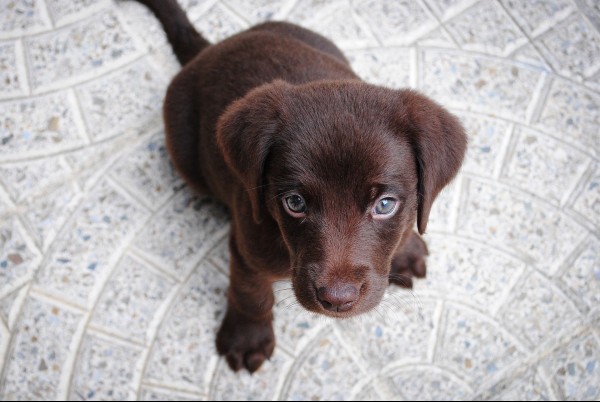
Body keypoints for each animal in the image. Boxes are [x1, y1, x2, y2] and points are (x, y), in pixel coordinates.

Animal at [136, 0, 468, 374]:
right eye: (294, 203)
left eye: (385, 205)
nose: (337, 300)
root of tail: (210, 49)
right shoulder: (247, 246)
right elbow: (250, 292)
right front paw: (247, 338)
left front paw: (406, 248)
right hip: (184, 151)